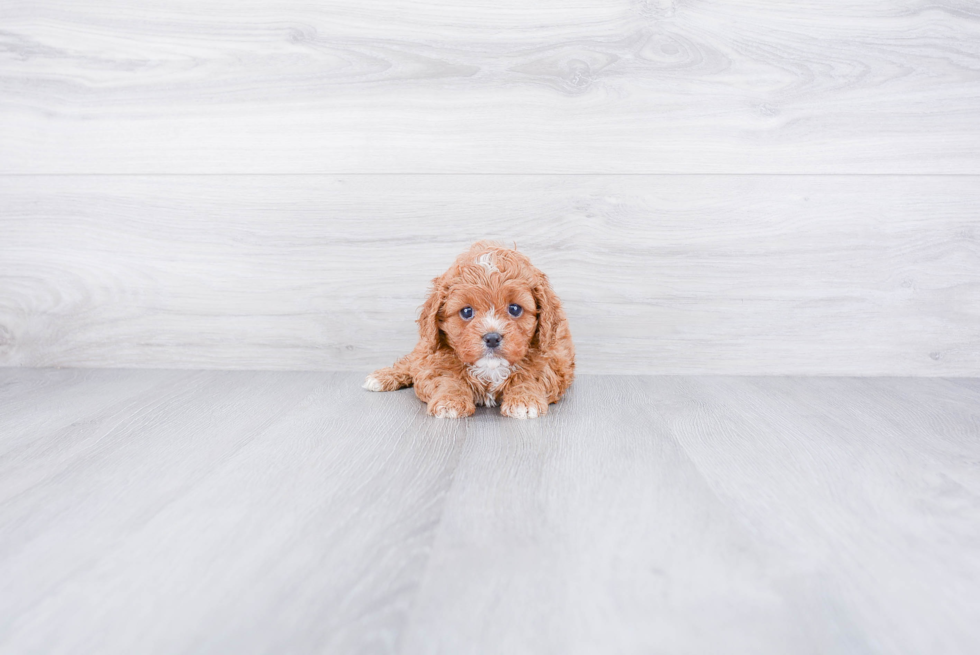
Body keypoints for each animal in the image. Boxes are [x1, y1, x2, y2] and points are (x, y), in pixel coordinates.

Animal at [364, 241, 572, 420]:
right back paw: (382, 377)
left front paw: (525, 400)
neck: (490, 369)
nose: (492, 338)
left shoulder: (551, 361)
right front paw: (450, 400)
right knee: (409, 363)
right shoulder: (434, 362)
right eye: (466, 312)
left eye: (515, 309)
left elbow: (529, 378)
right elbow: (447, 379)